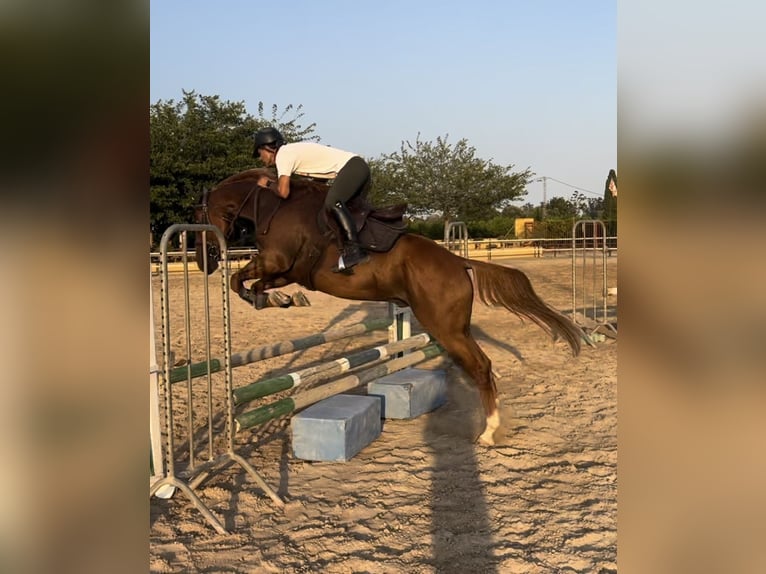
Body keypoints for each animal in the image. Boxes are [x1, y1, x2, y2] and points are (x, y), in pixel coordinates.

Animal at [196, 166, 584, 446]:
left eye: (200, 217)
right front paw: (278, 299)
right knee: (479, 364)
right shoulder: (284, 271)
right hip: (452, 327)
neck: (272, 206)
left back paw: (489, 432)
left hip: (444, 327)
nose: (205, 261)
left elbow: (237, 280)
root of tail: (459, 262)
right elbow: (255, 284)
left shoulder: (277, 262)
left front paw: (263, 297)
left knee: (480, 365)